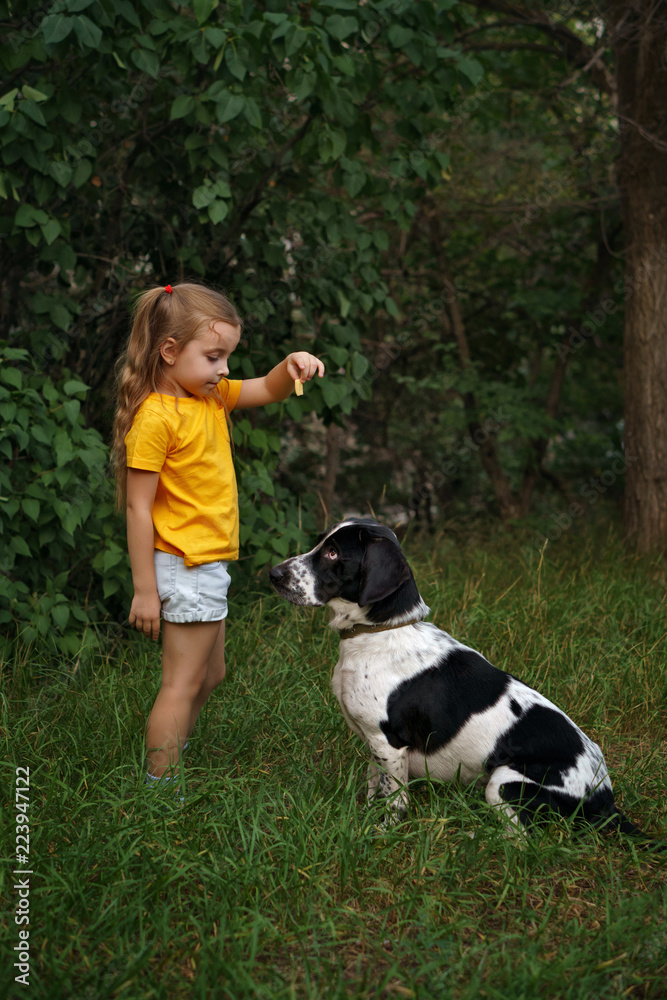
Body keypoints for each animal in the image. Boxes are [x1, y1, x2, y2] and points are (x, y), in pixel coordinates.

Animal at [268, 524, 660, 844]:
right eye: (320, 542)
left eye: (333, 553)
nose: (272, 574)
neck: (379, 633)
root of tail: (605, 799)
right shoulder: (373, 743)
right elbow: (372, 783)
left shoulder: (389, 743)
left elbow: (394, 799)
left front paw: (382, 831)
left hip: (504, 782)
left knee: (520, 839)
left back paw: (473, 837)